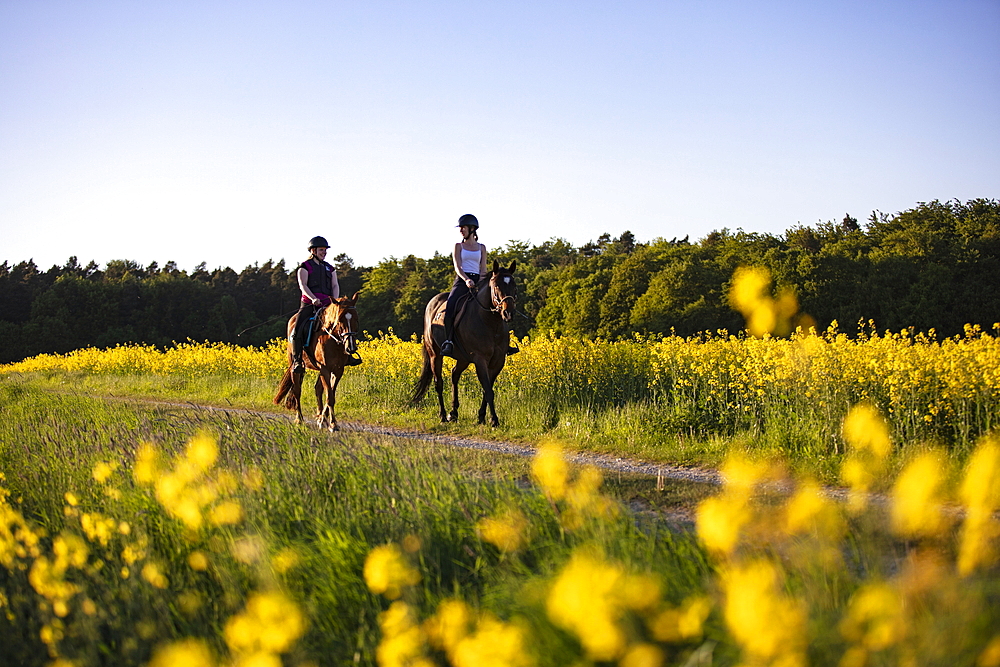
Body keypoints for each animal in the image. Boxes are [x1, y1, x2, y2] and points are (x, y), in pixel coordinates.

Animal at [276, 294, 362, 434]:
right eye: (340, 319)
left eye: (356, 318)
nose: (351, 348)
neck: (333, 340)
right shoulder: (325, 369)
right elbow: (330, 396)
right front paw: (332, 424)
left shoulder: (338, 370)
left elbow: (330, 394)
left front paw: (323, 420)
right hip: (296, 368)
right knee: (297, 391)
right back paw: (299, 419)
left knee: (317, 389)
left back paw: (320, 417)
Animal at [412, 260, 520, 428]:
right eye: (496, 286)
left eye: (514, 286)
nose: (508, 313)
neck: (491, 323)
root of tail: (433, 302)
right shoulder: (480, 359)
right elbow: (488, 390)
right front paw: (494, 420)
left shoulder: (498, 361)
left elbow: (487, 389)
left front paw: (482, 417)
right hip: (435, 354)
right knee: (438, 383)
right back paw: (443, 416)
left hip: (463, 358)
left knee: (454, 374)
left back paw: (453, 413)